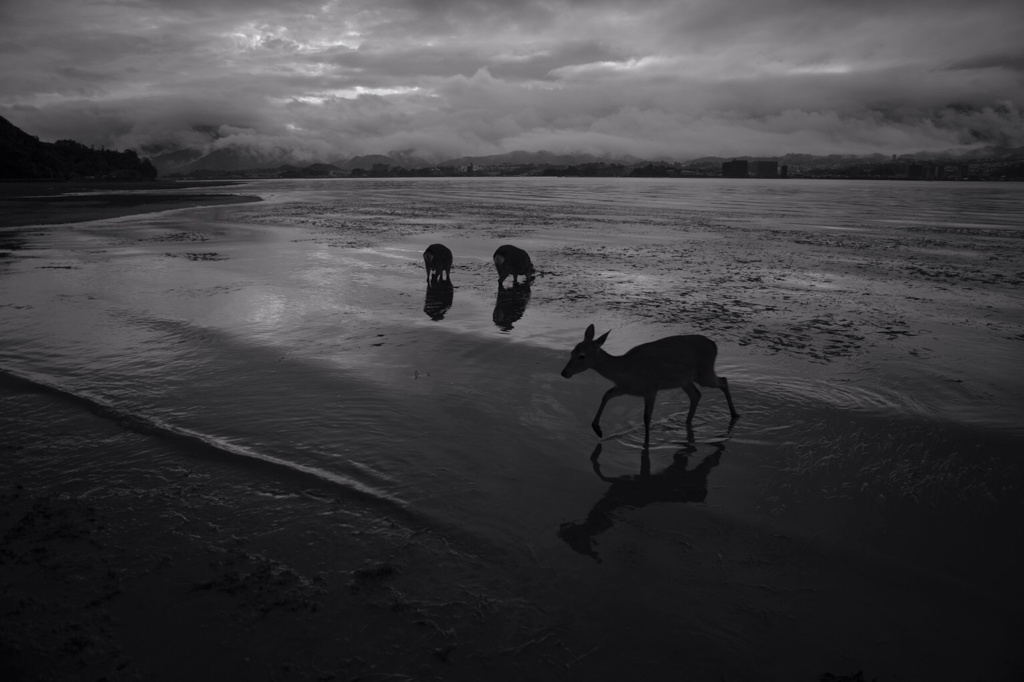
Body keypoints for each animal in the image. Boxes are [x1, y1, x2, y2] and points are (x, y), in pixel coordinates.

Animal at [561, 325, 737, 446]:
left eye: (582, 356)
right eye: (572, 352)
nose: (564, 372)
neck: (626, 370)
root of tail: (714, 345)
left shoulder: (651, 388)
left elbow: (646, 417)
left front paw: (646, 443)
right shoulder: (624, 388)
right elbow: (606, 394)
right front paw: (597, 428)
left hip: (704, 372)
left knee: (723, 380)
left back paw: (735, 414)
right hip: (684, 380)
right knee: (696, 394)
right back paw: (687, 423)